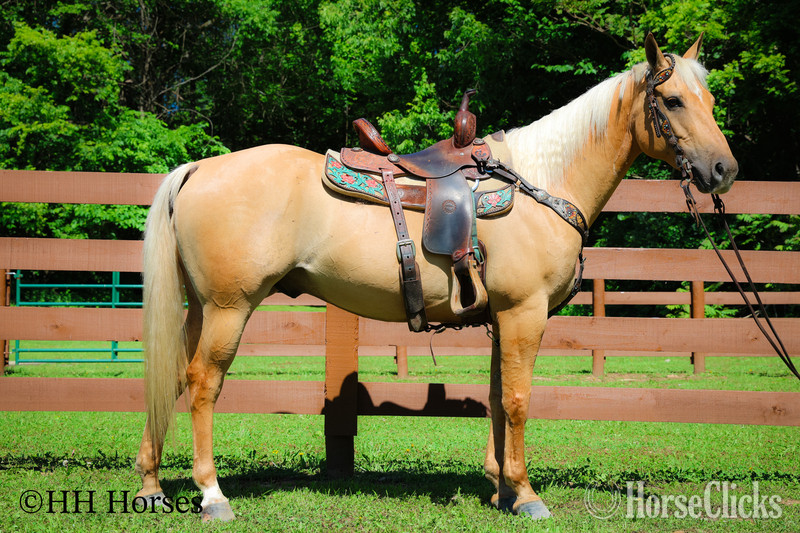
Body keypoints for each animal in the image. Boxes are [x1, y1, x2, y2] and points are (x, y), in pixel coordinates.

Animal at [134, 34, 737, 521]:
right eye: (674, 100)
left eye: (710, 101)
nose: (724, 170)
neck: (542, 181)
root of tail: (199, 168)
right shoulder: (525, 311)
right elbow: (518, 399)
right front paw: (527, 494)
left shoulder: (502, 317)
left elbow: (496, 397)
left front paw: (501, 489)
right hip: (229, 309)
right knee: (204, 385)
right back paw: (212, 495)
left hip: (201, 309)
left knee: (172, 377)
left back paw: (151, 486)